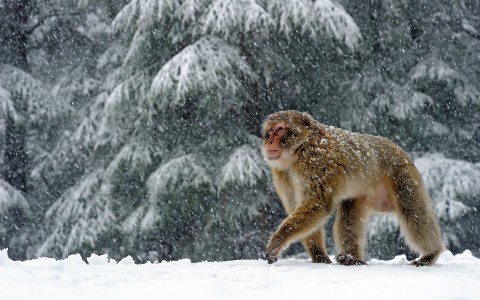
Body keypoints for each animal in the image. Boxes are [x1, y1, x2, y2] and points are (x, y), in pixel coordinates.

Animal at [260, 111, 444, 266]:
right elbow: (296, 207)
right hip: (365, 193)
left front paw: (278, 240)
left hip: (403, 175)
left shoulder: (317, 161)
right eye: (270, 130)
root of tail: (398, 148)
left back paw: (431, 253)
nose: (269, 140)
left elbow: (319, 203)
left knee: (413, 212)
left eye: (280, 129)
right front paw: (319, 255)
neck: (298, 152)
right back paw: (351, 258)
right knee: (349, 213)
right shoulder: (282, 175)